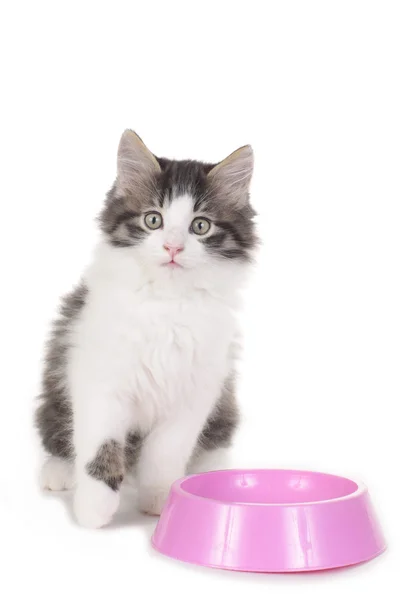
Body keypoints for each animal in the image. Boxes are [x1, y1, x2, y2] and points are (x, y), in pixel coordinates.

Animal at [36, 130, 258, 524]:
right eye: (153, 220)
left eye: (201, 225)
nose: (172, 247)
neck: (167, 302)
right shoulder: (99, 380)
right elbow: (99, 446)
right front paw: (93, 510)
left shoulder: (195, 392)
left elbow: (164, 454)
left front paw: (160, 501)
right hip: (56, 385)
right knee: (58, 435)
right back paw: (59, 472)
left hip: (224, 403)